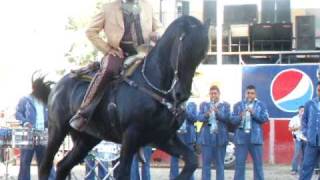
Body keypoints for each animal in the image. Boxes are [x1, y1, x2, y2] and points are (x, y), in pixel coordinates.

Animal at [39, 15, 210, 180]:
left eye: (202, 55)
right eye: (185, 51)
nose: (182, 94)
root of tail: (57, 86)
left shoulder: (164, 138)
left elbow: (192, 161)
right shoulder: (131, 136)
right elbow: (124, 173)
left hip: (87, 139)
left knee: (63, 166)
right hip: (57, 130)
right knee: (45, 167)